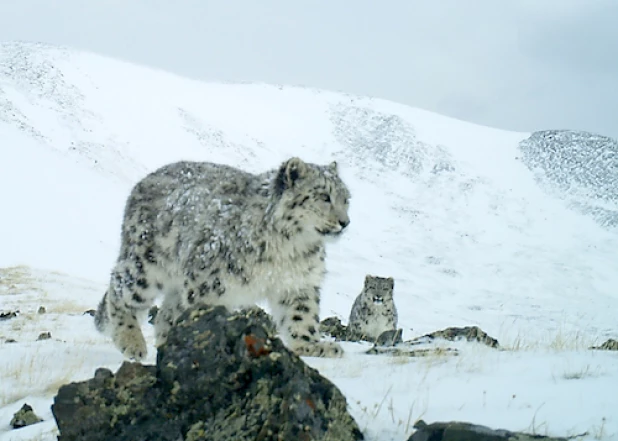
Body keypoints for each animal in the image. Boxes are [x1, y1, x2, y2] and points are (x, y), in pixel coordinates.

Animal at [94, 156, 348, 360]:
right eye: (324, 196)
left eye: (347, 199)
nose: (345, 222)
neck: (291, 247)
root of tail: (141, 184)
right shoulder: (208, 283)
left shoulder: (299, 283)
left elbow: (301, 316)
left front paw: (312, 345)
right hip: (146, 267)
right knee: (120, 289)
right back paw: (131, 342)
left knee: (165, 314)